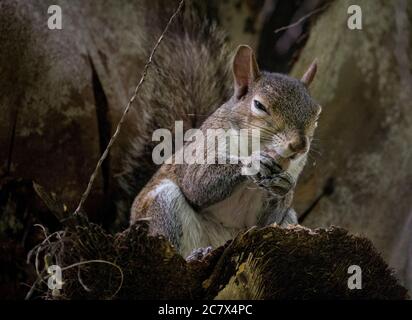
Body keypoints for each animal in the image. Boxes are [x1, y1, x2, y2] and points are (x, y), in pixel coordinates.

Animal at [117, 0, 320, 256]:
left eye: (316, 115)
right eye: (259, 105)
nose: (299, 146)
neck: (254, 143)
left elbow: (265, 221)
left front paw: (284, 187)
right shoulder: (201, 148)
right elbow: (197, 183)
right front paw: (252, 163)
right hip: (161, 205)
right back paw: (194, 255)